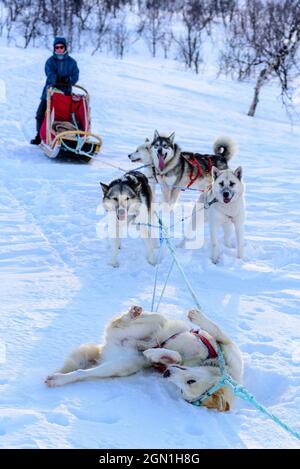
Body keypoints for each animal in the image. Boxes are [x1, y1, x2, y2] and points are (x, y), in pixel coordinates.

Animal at [44, 304, 243, 410]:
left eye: (182, 390)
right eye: (190, 381)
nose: (166, 374)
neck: (211, 361)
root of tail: (109, 345)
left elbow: (176, 357)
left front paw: (158, 355)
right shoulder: (227, 346)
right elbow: (217, 330)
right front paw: (198, 317)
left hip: (121, 365)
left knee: (84, 373)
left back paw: (59, 379)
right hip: (155, 321)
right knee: (130, 322)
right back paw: (134, 318)